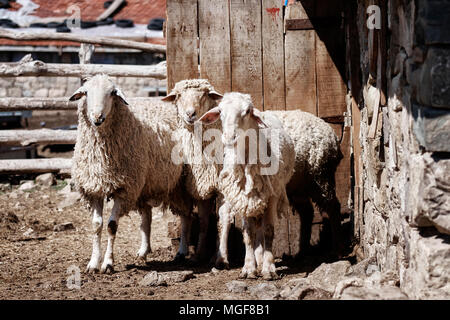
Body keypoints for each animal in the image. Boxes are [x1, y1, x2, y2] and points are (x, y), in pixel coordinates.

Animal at [69, 74, 191, 272]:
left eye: (112, 93)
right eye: (85, 92)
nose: (97, 117)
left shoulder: (124, 190)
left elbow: (111, 226)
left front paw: (108, 263)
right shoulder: (93, 189)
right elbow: (96, 226)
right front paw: (93, 263)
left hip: (178, 183)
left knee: (186, 214)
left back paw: (181, 251)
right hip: (146, 184)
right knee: (147, 216)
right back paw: (144, 250)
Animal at [163, 79, 224, 262]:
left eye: (204, 94)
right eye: (179, 95)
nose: (190, 114)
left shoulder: (219, 187)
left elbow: (217, 221)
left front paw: (215, 256)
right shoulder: (197, 187)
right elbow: (200, 222)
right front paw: (197, 254)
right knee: (186, 217)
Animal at [199, 92, 298, 280]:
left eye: (247, 111)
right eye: (220, 111)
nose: (229, 137)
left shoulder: (271, 195)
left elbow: (268, 231)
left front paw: (268, 268)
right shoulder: (242, 197)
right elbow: (248, 233)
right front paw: (249, 268)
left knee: (261, 227)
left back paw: (261, 259)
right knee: (228, 219)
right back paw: (225, 259)